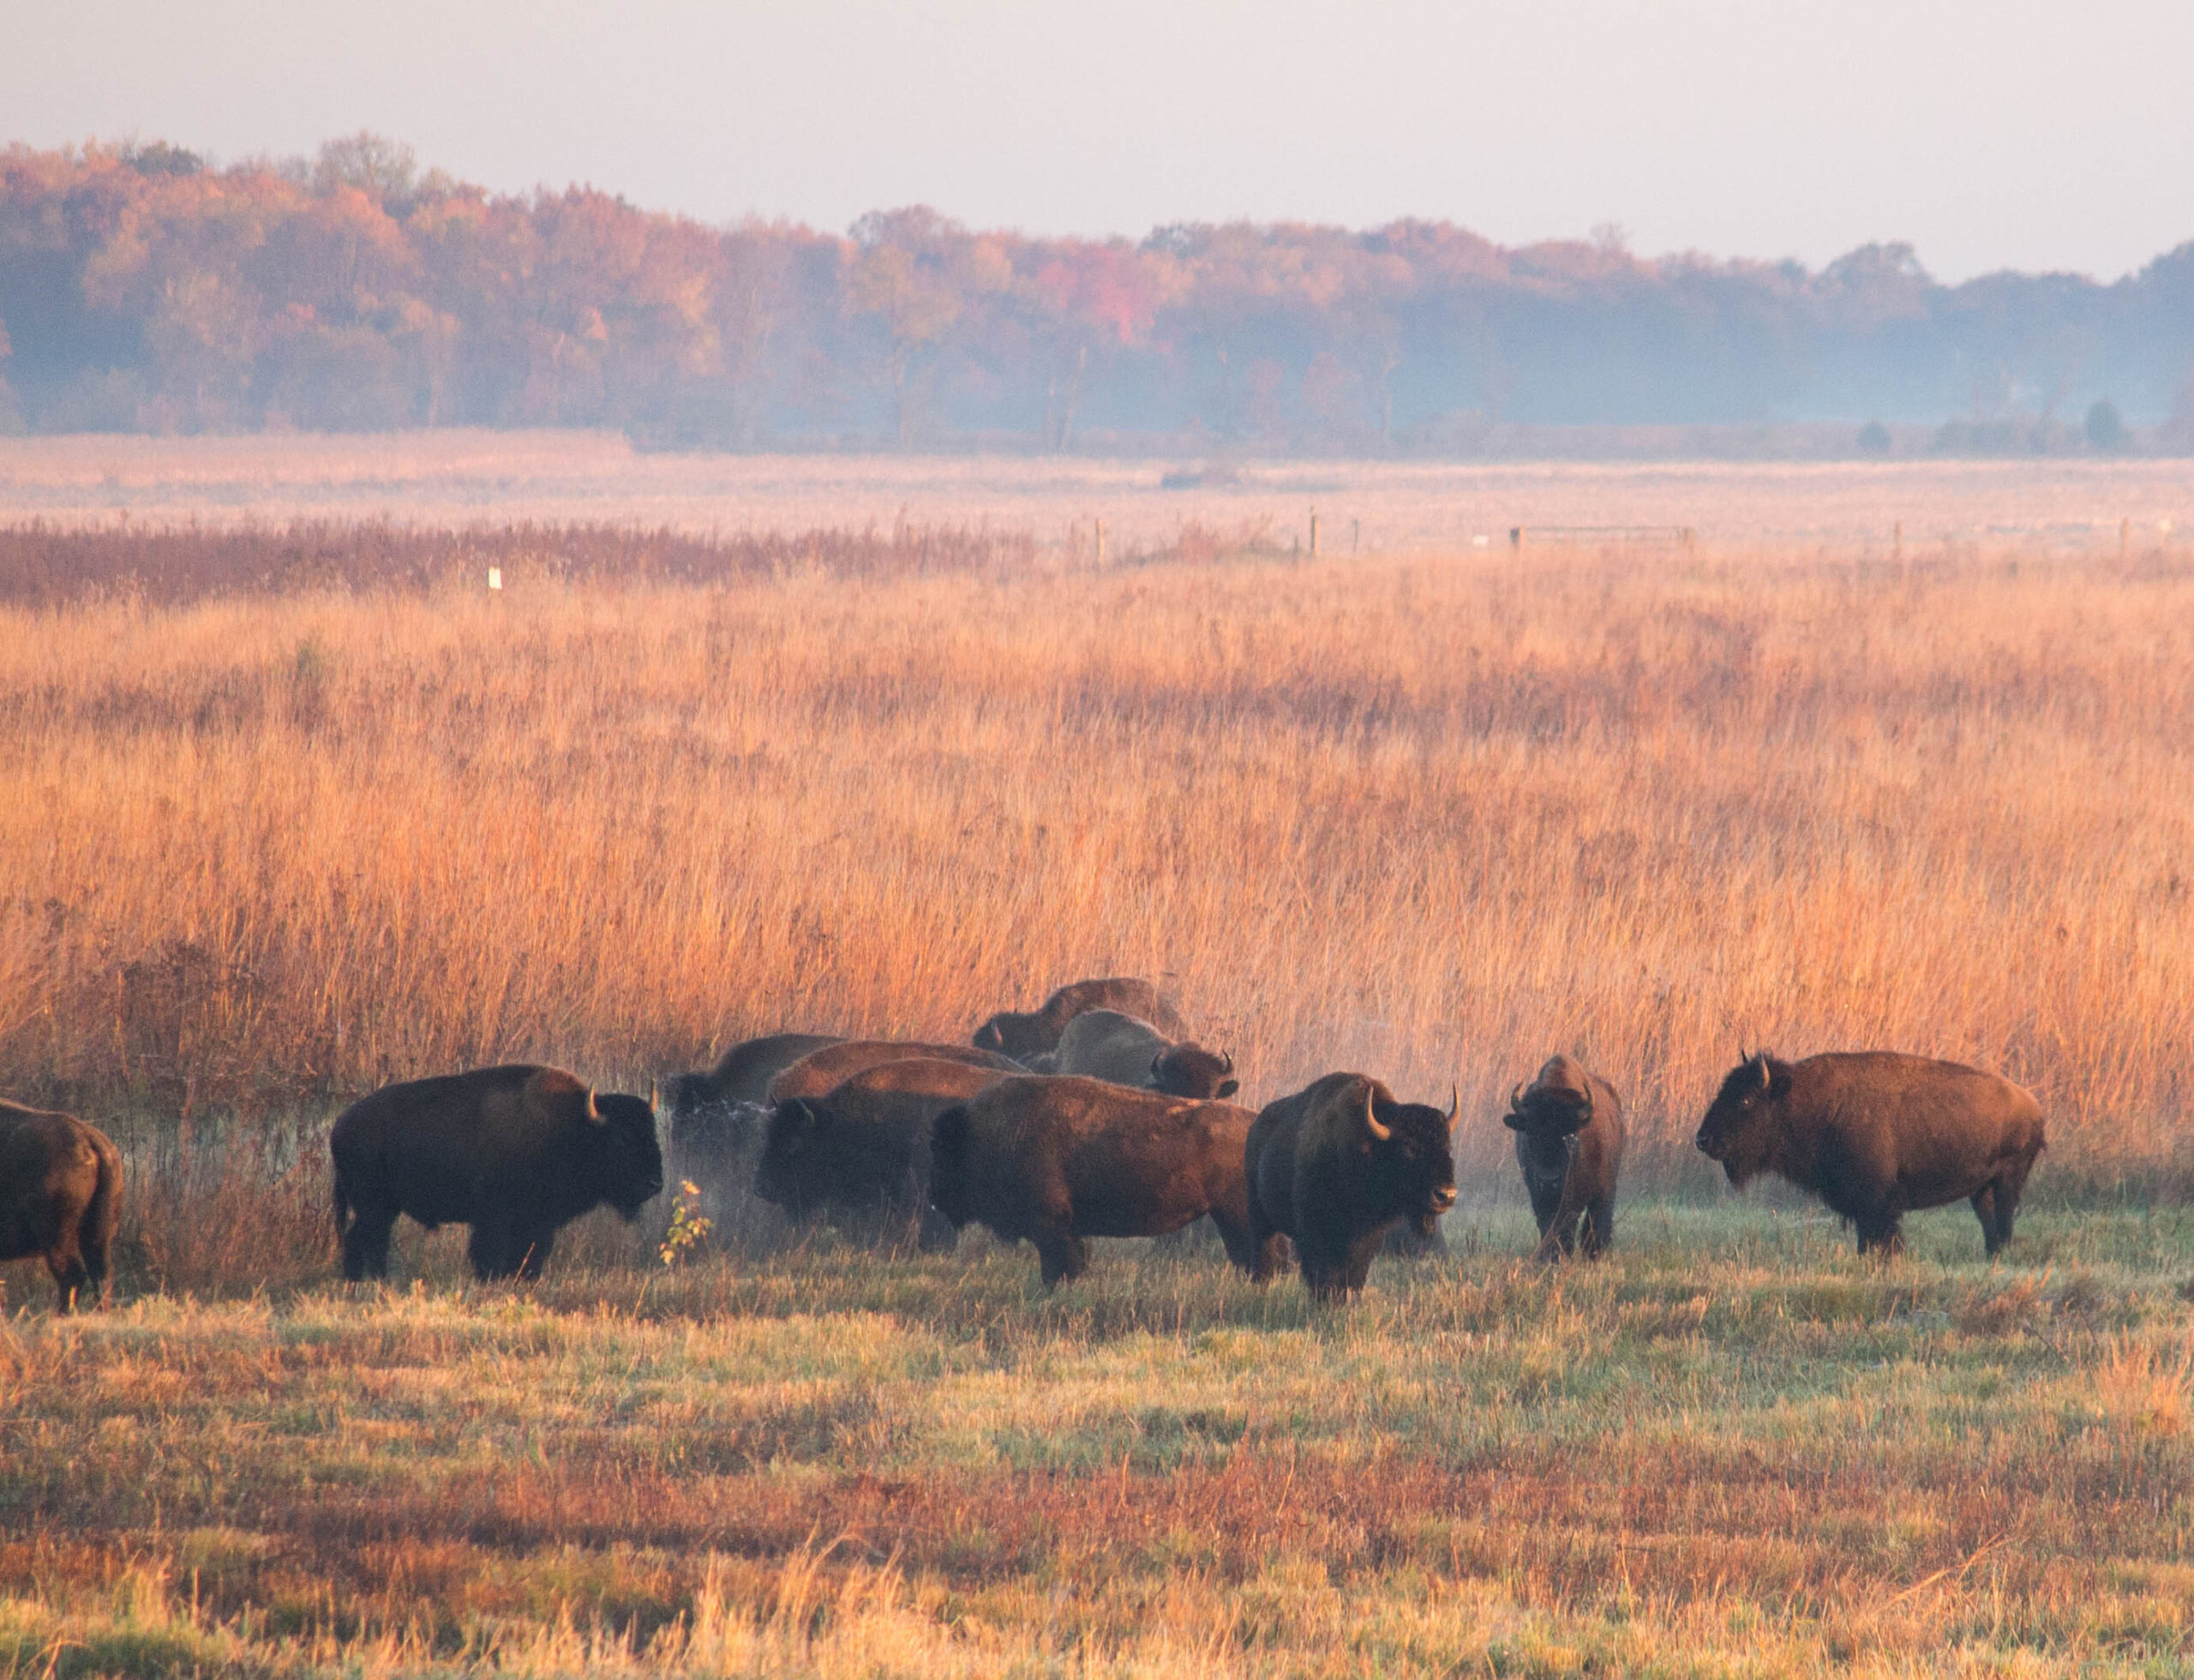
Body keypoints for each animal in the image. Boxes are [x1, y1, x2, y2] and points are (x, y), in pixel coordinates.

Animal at [332, 1065, 664, 1281]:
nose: (655, 1184)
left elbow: (532, 1253)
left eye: (652, 1131)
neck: (572, 1129)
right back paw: (364, 1280)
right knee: (364, 1238)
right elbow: (490, 1253)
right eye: (621, 1138)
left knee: (371, 1239)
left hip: (385, 1207)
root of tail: (341, 1125)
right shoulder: (496, 1219)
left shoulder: (539, 1222)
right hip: (373, 1205)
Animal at [927, 1075, 1260, 1285]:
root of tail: (1255, 1123)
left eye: (943, 1150)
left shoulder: (1051, 1226)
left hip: (1235, 1216)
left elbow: (1061, 1266)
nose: (933, 1196)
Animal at [1245, 1073, 1458, 1298]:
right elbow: (1323, 1272)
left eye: (1448, 1147)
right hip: (1259, 1214)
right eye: (1408, 1147)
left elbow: (1354, 1273)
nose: (1446, 1195)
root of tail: (1256, 1126)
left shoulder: (1364, 1237)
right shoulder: (1315, 1231)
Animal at [1505, 1055, 1626, 1261]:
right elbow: (1552, 1227)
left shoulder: (1604, 1189)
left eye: (1568, 1135)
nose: (1549, 1180)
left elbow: (1596, 1224)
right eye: (1530, 1135)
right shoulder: (1541, 1197)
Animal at [1694, 1051, 2045, 1257]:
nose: (1703, 1139)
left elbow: (1878, 1236)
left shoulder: (1876, 1202)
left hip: (2007, 1182)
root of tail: (2032, 1105)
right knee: (1990, 1223)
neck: (1812, 1103)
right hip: (1980, 1190)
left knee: (2003, 1221)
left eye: (1744, 1100)